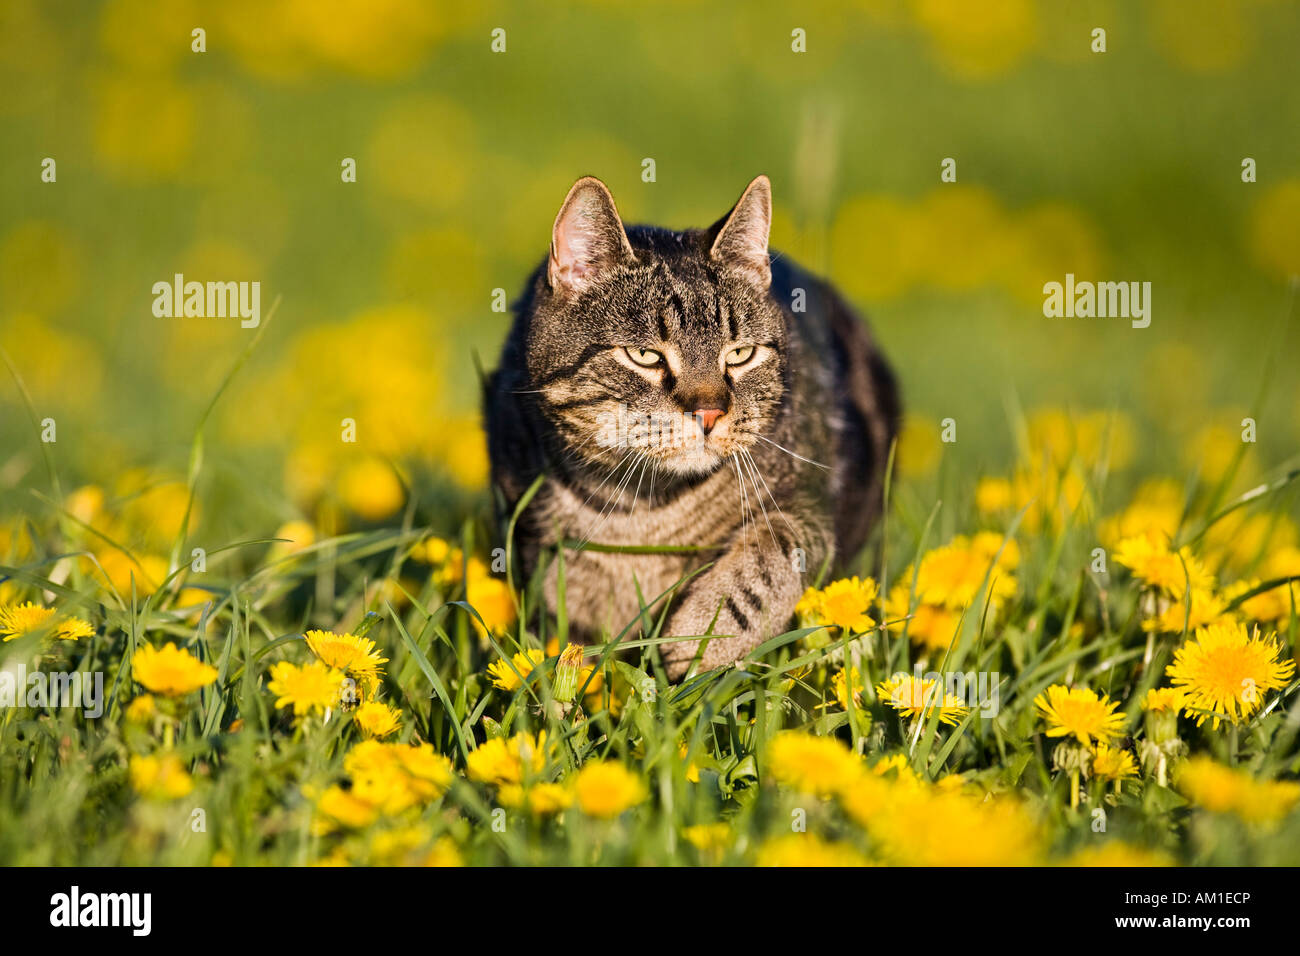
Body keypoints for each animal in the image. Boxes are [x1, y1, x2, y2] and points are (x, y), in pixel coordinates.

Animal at [483, 174, 899, 681]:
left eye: (740, 354)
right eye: (645, 356)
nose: (710, 412)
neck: (645, 509)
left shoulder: (812, 505)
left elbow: (773, 556)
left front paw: (707, 633)